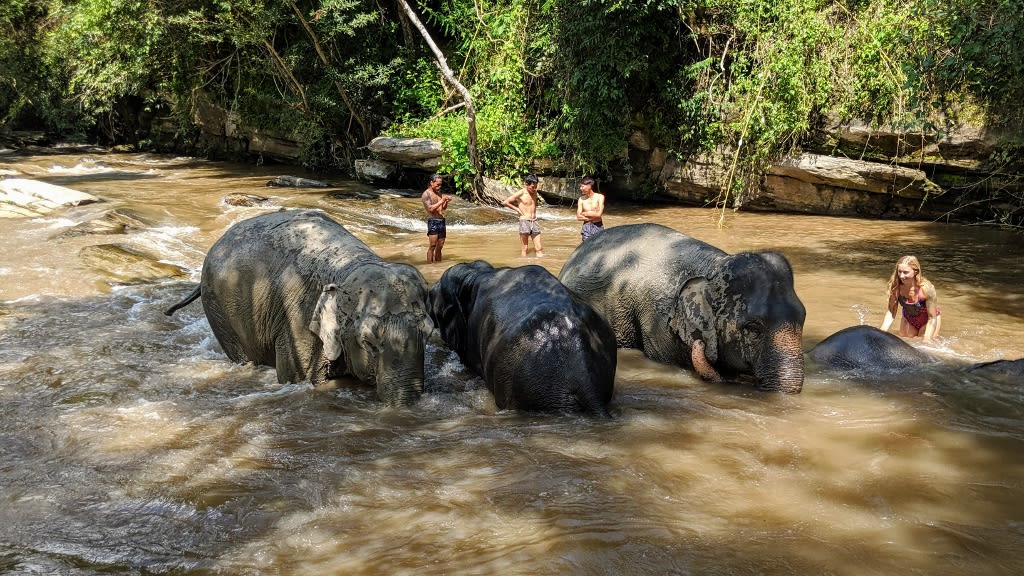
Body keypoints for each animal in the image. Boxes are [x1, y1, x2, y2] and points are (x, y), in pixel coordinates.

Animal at [164, 209, 433, 406]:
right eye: (368, 342)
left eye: (429, 334)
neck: (349, 266)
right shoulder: (298, 320)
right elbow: (301, 378)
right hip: (219, 310)